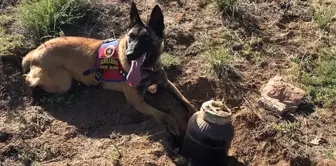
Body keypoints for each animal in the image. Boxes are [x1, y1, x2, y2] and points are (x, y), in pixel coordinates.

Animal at [21, 1, 197, 136]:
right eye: (130, 37)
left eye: (146, 38)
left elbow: (185, 101)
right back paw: (34, 96)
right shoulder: (136, 101)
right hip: (63, 81)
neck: (148, 69)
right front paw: (174, 125)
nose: (129, 55)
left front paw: (194, 112)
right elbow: (164, 114)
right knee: (28, 79)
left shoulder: (166, 83)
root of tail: (35, 52)